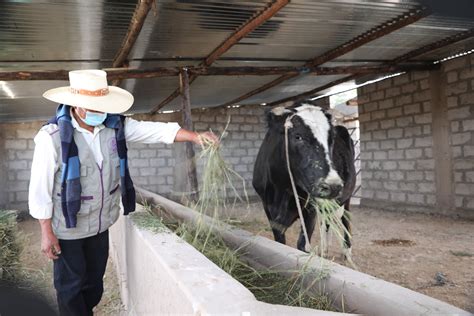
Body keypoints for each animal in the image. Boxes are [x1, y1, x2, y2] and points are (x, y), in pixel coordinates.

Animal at [252, 102, 356, 260]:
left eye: (331, 139)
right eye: (298, 136)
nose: (332, 186)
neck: (282, 189)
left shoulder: (311, 209)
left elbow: (302, 245)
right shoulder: (268, 208)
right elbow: (279, 242)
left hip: (346, 198)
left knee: (345, 219)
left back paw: (347, 251)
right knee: (327, 220)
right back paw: (325, 250)